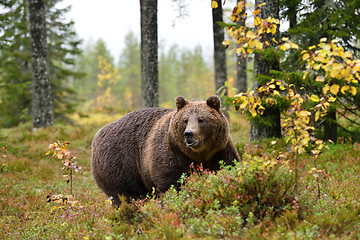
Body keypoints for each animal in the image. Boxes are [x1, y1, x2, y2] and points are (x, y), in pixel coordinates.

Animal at [91, 95, 240, 204]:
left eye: (201, 119)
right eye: (185, 120)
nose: (189, 134)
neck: (199, 154)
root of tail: (96, 136)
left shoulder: (219, 151)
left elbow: (228, 167)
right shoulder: (172, 154)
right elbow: (170, 182)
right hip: (120, 163)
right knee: (126, 194)